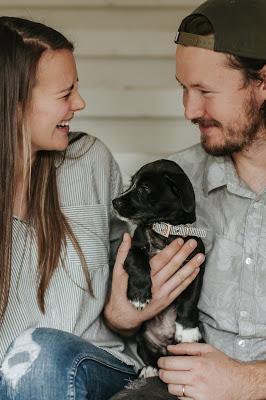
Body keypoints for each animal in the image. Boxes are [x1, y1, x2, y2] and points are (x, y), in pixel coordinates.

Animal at [111, 159, 206, 372]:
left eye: (144, 188)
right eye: (131, 182)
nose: (114, 202)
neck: (164, 231)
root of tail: (164, 347)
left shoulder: (196, 265)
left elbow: (190, 300)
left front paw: (188, 330)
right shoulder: (132, 247)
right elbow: (138, 262)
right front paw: (139, 295)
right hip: (143, 341)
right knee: (151, 358)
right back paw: (149, 370)